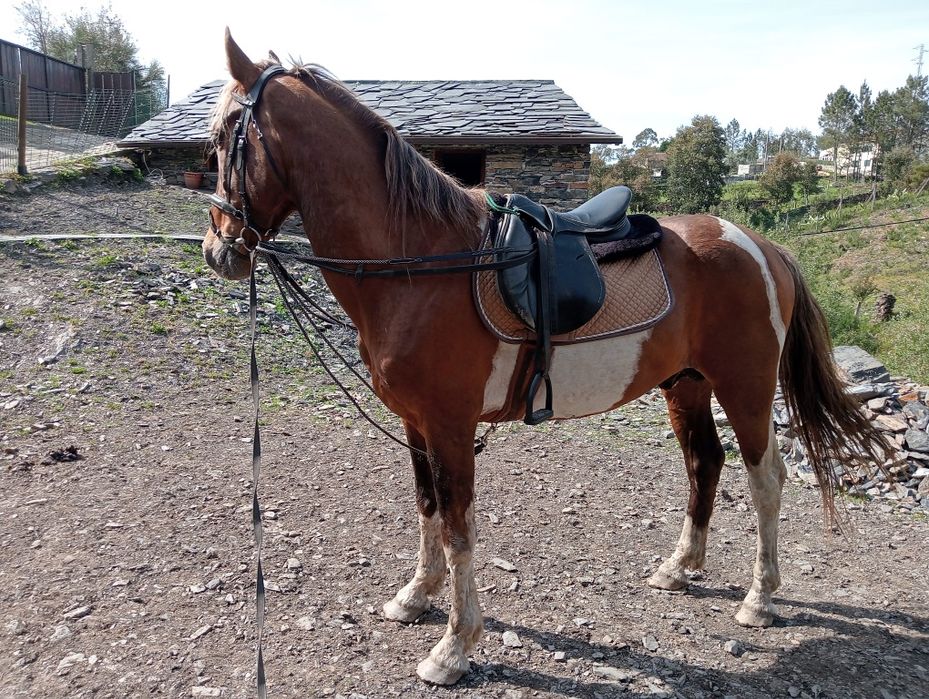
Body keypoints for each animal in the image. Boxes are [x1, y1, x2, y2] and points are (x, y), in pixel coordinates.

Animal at [202, 30, 890, 686]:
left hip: (744, 385)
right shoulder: (415, 422)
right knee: (705, 462)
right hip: (686, 383)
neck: (420, 261)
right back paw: (679, 567)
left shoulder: (450, 425)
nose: (219, 249)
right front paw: (416, 597)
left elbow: (457, 528)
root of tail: (761, 245)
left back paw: (760, 598)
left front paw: (454, 647)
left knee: (764, 477)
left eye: (227, 137)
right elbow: (427, 509)